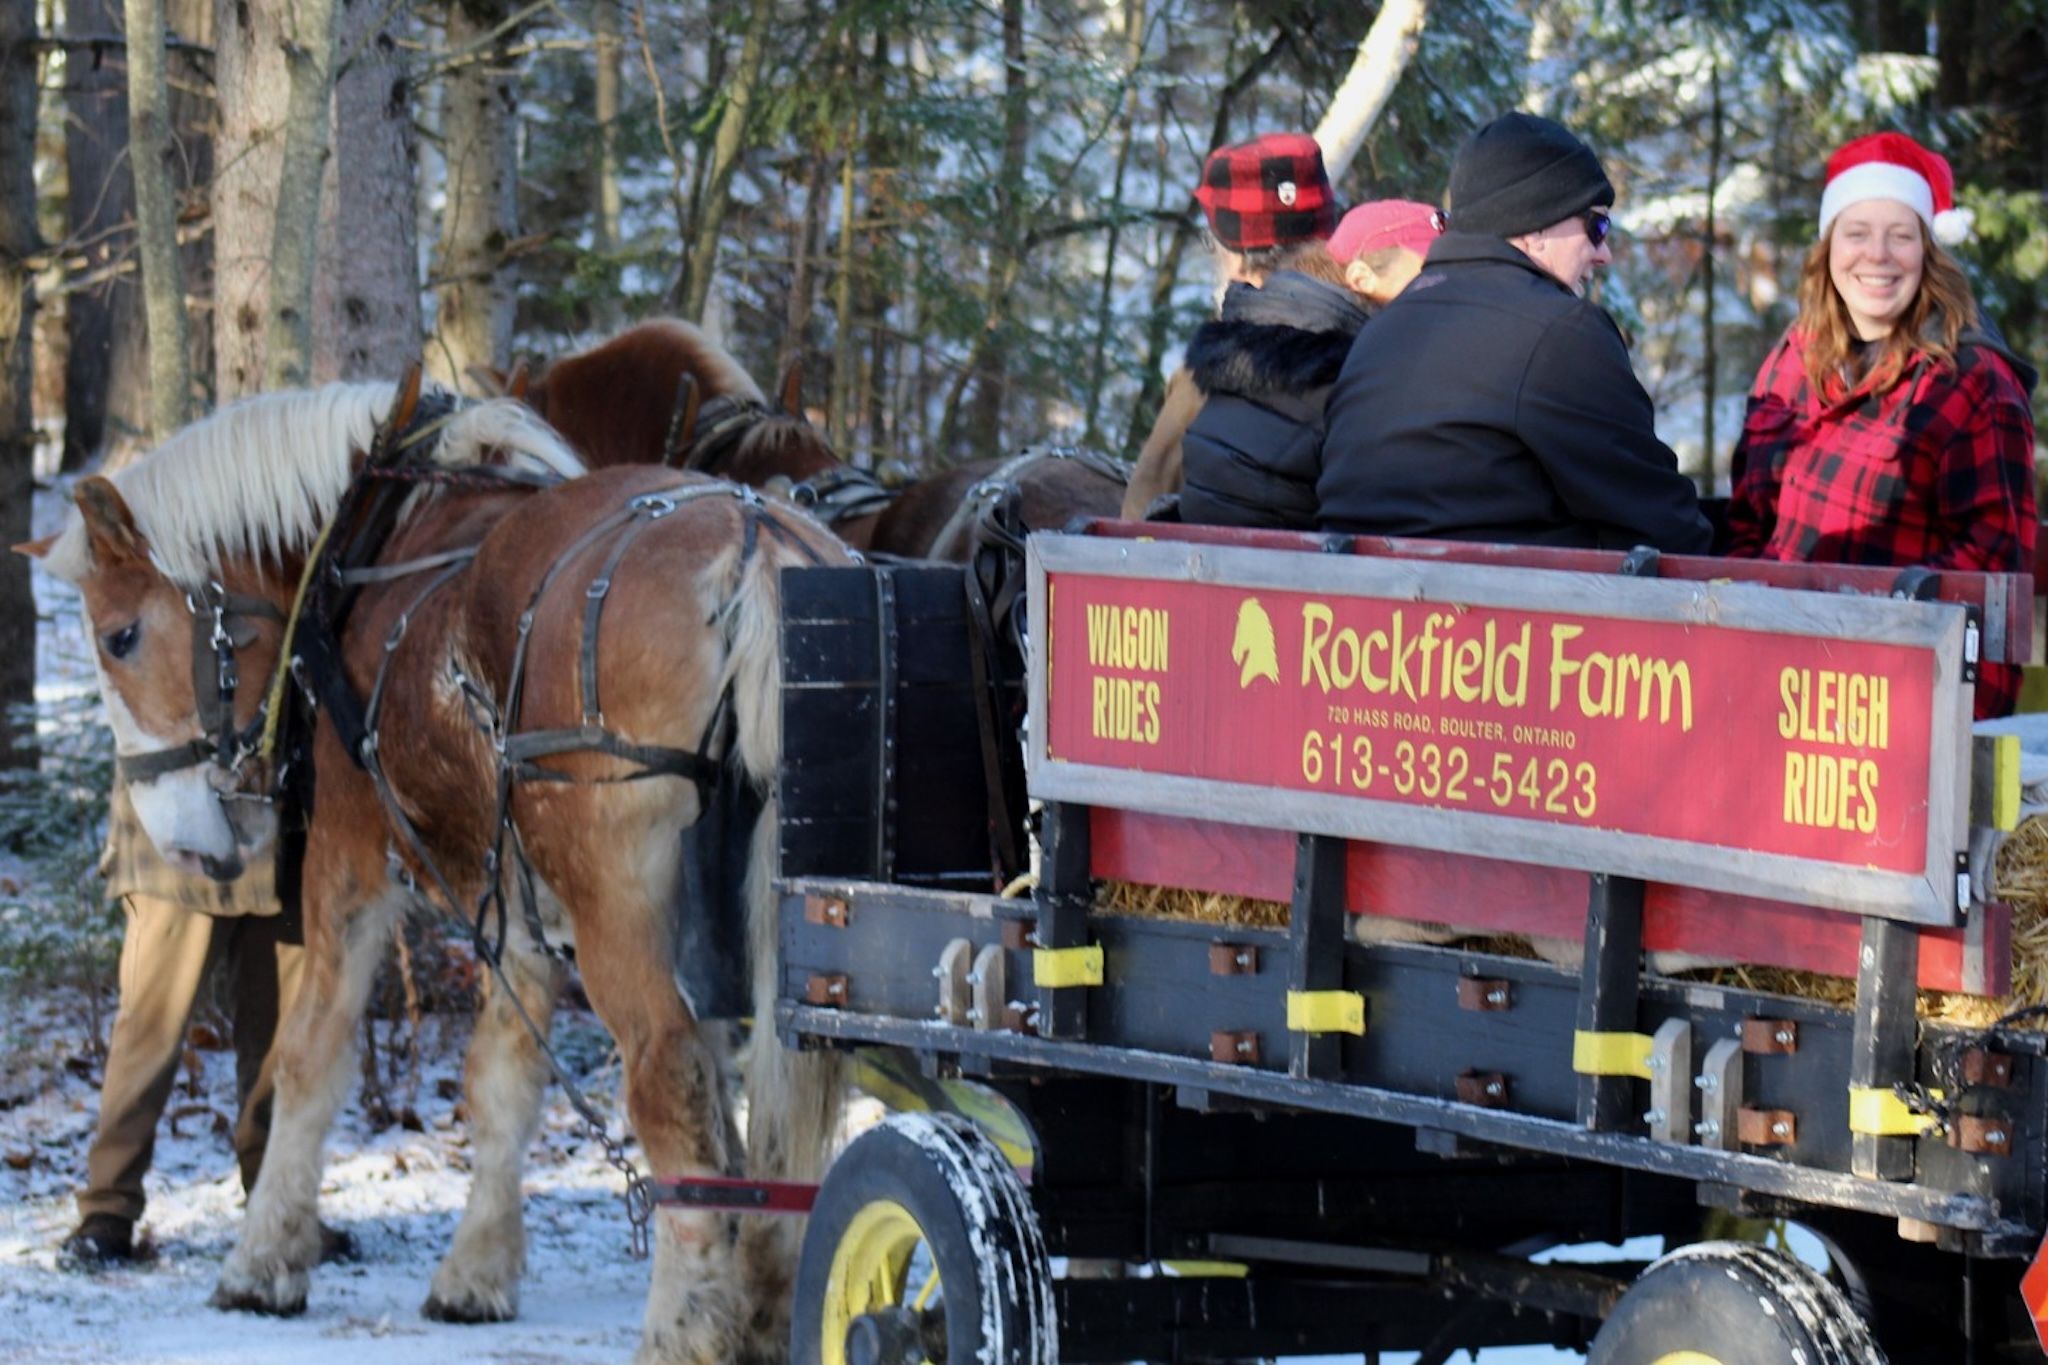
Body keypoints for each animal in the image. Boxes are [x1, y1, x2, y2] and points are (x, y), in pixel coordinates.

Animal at [19, 380, 850, 1364]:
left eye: (119, 637)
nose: (176, 843)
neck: (366, 546)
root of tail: (753, 544)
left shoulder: (349, 859)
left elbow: (310, 1054)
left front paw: (264, 1261)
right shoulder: (526, 901)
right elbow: (503, 1079)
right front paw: (477, 1269)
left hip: (619, 909)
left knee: (670, 1078)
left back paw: (682, 1328)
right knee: (782, 1103)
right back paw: (763, 1307)